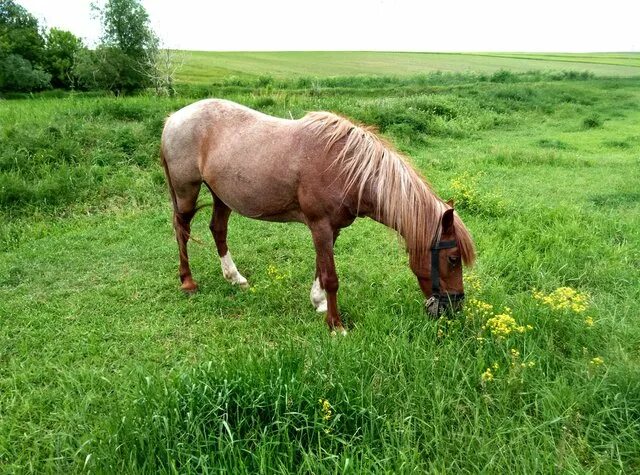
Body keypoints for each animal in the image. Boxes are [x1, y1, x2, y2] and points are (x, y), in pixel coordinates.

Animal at [160, 98, 476, 332]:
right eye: (453, 258)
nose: (454, 308)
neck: (347, 168)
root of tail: (173, 118)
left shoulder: (331, 229)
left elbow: (320, 269)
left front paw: (319, 302)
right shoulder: (320, 226)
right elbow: (331, 276)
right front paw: (336, 325)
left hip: (221, 195)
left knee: (218, 229)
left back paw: (234, 277)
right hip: (186, 192)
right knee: (181, 230)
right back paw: (188, 282)